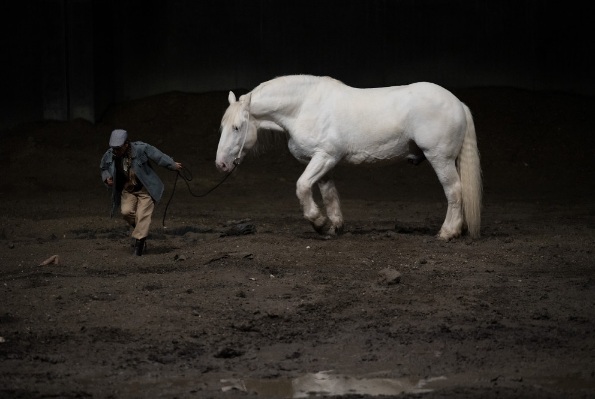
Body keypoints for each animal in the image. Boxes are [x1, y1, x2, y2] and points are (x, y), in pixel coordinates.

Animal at [217, 75, 482, 241]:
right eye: (223, 126)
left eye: (237, 127)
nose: (221, 164)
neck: (303, 107)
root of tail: (457, 103)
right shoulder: (323, 162)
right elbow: (328, 193)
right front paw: (334, 226)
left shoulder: (325, 156)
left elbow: (302, 186)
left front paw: (318, 222)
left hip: (440, 158)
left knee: (454, 191)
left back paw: (448, 232)